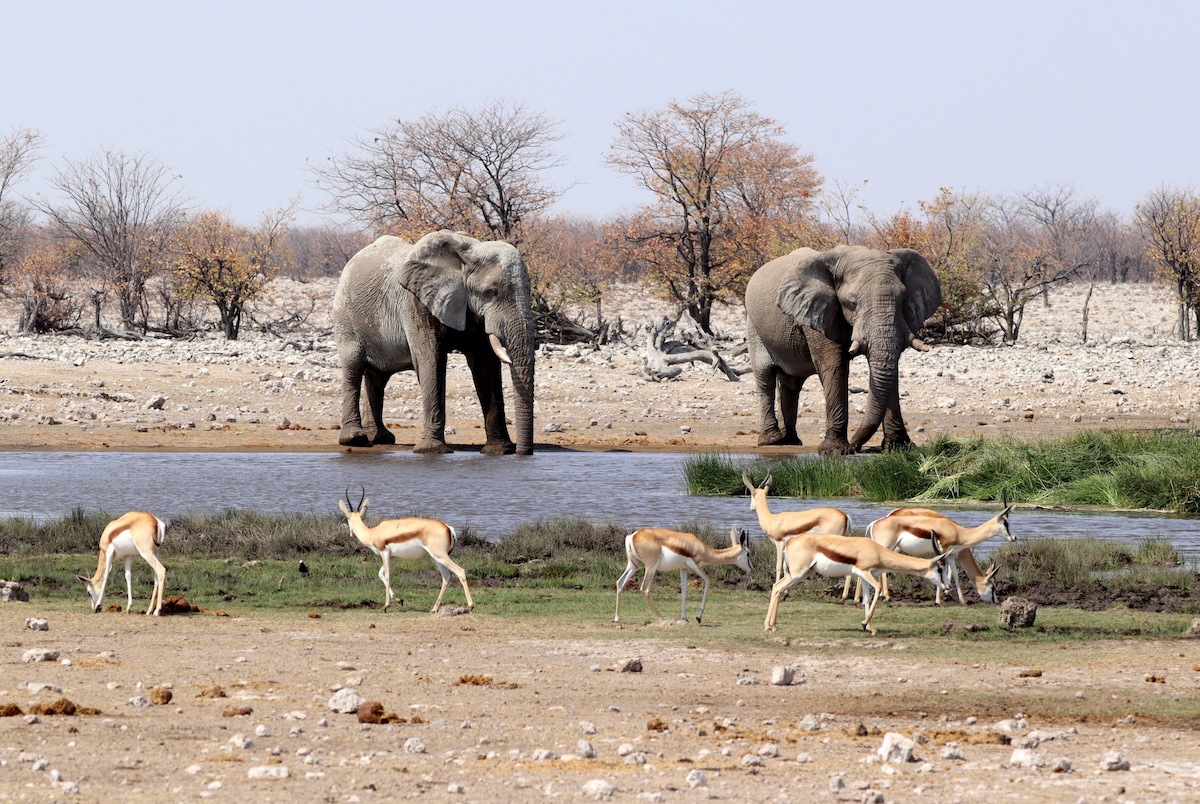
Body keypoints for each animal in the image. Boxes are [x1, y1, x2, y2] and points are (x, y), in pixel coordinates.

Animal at [332, 230, 535, 455]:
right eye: (492, 291)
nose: (524, 453)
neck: (465, 256)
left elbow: (485, 367)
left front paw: (499, 451)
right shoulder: (417, 302)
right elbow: (432, 361)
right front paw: (432, 450)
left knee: (377, 377)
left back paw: (381, 438)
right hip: (345, 316)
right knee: (353, 366)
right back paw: (355, 439)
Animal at [338, 488, 473, 613]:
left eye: (347, 518)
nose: (350, 533)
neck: (373, 533)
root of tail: (448, 528)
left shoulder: (384, 552)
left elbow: (387, 575)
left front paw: (385, 606)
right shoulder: (391, 556)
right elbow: (380, 574)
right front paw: (399, 601)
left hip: (440, 556)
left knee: (460, 571)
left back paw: (470, 606)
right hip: (436, 558)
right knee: (446, 576)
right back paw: (434, 609)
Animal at [614, 526, 752, 629]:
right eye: (748, 554)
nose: (752, 569)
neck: (701, 548)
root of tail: (633, 536)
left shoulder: (683, 568)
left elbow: (684, 590)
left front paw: (684, 618)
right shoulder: (694, 565)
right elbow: (707, 580)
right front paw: (698, 617)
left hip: (634, 565)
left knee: (620, 583)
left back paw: (618, 623)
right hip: (650, 567)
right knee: (645, 588)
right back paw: (662, 619)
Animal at [744, 245, 942, 455]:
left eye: (903, 299)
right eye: (852, 303)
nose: (857, 447)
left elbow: (890, 368)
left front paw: (898, 447)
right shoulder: (818, 311)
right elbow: (834, 366)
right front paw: (835, 451)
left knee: (791, 384)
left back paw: (790, 441)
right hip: (754, 328)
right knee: (765, 378)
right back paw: (771, 441)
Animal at [764, 532, 952, 635]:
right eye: (940, 568)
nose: (948, 587)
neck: (876, 551)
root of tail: (789, 542)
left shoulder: (868, 575)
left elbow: (867, 599)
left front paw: (871, 628)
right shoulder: (864, 572)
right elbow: (878, 589)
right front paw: (864, 623)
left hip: (802, 573)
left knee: (778, 589)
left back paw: (773, 625)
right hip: (798, 573)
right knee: (777, 587)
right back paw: (768, 626)